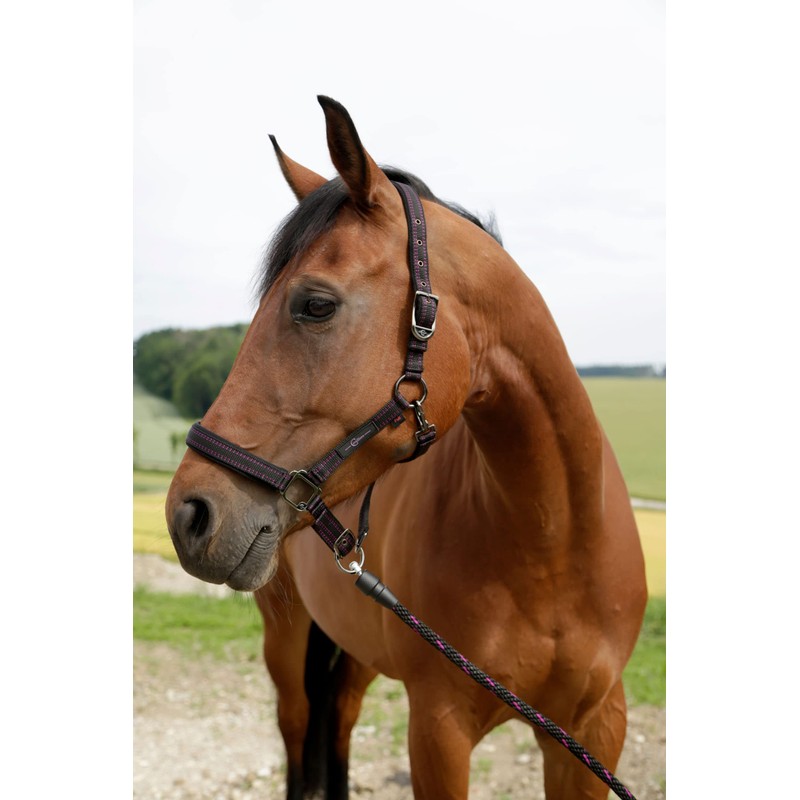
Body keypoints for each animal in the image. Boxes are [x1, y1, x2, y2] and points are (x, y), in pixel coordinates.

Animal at [165, 95, 647, 799]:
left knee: (338, 717)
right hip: (286, 638)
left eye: (315, 305)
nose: (188, 514)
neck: (552, 545)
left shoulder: (593, 732)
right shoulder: (439, 729)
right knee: (298, 726)